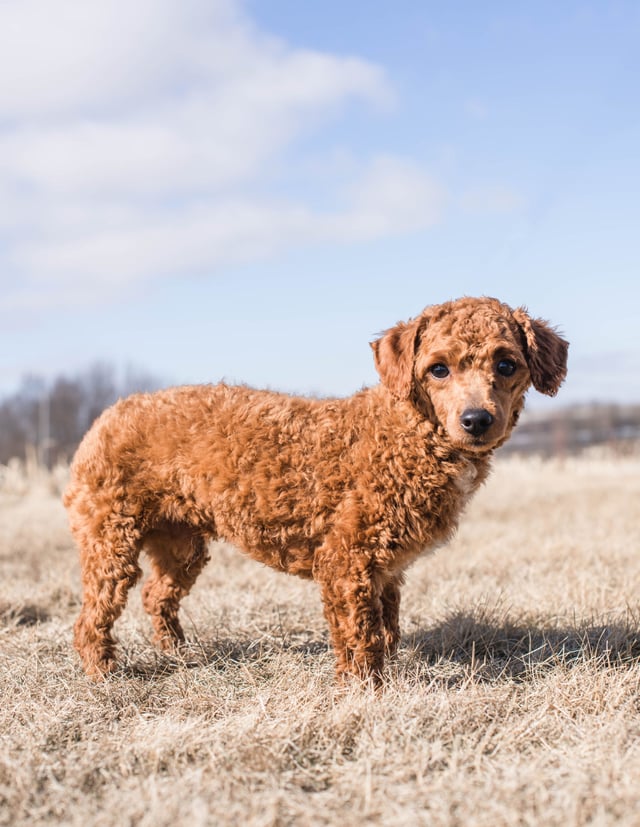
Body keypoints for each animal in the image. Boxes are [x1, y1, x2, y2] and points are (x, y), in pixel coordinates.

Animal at [63, 298, 564, 684]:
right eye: (438, 369)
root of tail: (105, 416)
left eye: (506, 364)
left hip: (180, 543)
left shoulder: (386, 569)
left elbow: (386, 629)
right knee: (91, 618)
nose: (477, 419)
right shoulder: (345, 560)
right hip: (111, 539)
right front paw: (366, 691)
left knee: (156, 596)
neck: (404, 434)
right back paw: (104, 673)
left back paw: (176, 652)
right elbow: (360, 635)